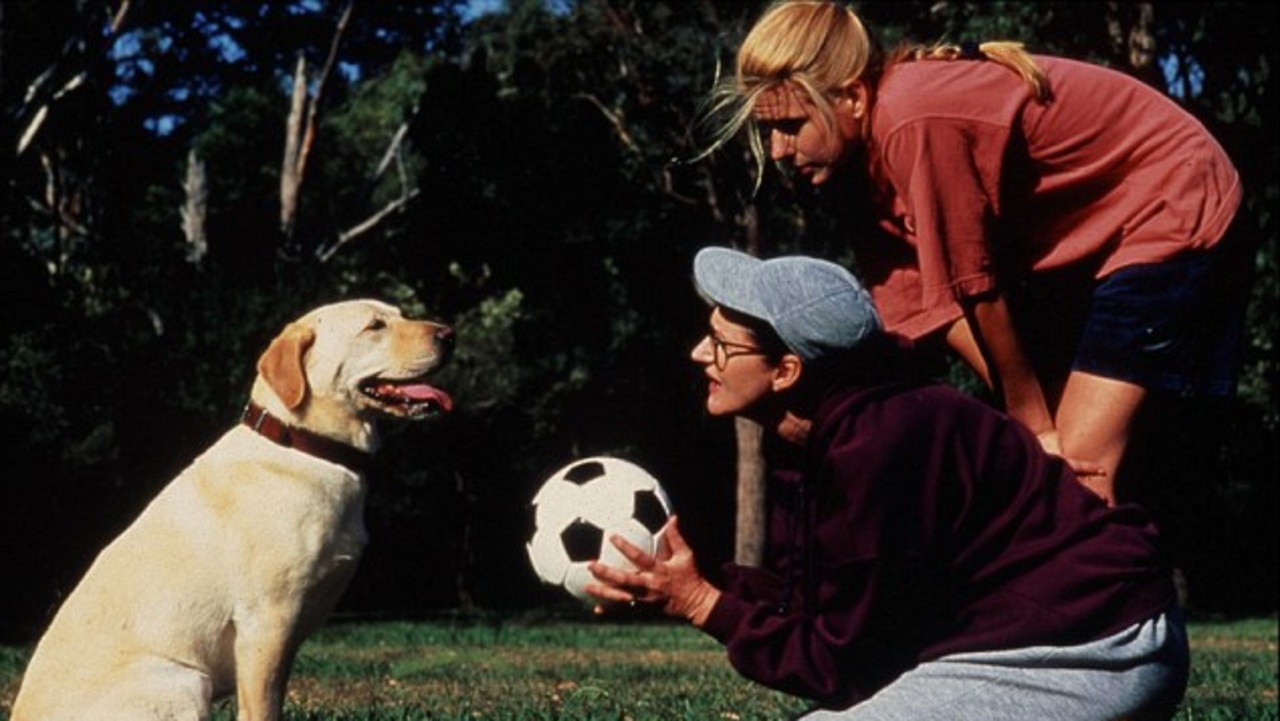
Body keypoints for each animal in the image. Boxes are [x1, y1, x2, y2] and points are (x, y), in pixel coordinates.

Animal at [12, 299, 453, 721]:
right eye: (375, 326)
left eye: (400, 314)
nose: (449, 334)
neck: (304, 446)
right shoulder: (267, 621)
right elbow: (261, 709)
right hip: (184, 680)